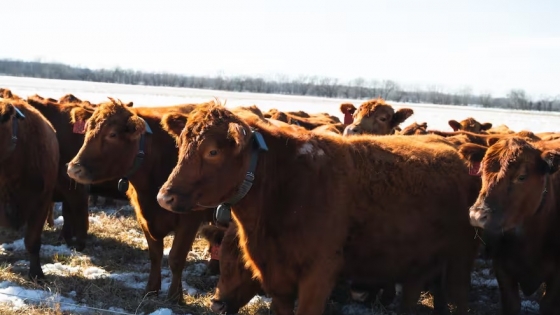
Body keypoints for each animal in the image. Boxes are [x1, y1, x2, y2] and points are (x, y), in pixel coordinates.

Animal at [65, 99, 214, 304]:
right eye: (87, 129)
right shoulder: (144, 217)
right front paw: (151, 290)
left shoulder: (189, 220)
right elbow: (155, 254)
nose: (73, 169)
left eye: (112, 134)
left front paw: (175, 296)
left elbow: (176, 258)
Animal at [155, 104, 480, 315]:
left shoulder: (319, 273)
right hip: (415, 263)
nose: (164, 197)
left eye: (212, 151)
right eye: (181, 144)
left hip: (461, 259)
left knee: (461, 298)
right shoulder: (278, 279)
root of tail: (451, 153)